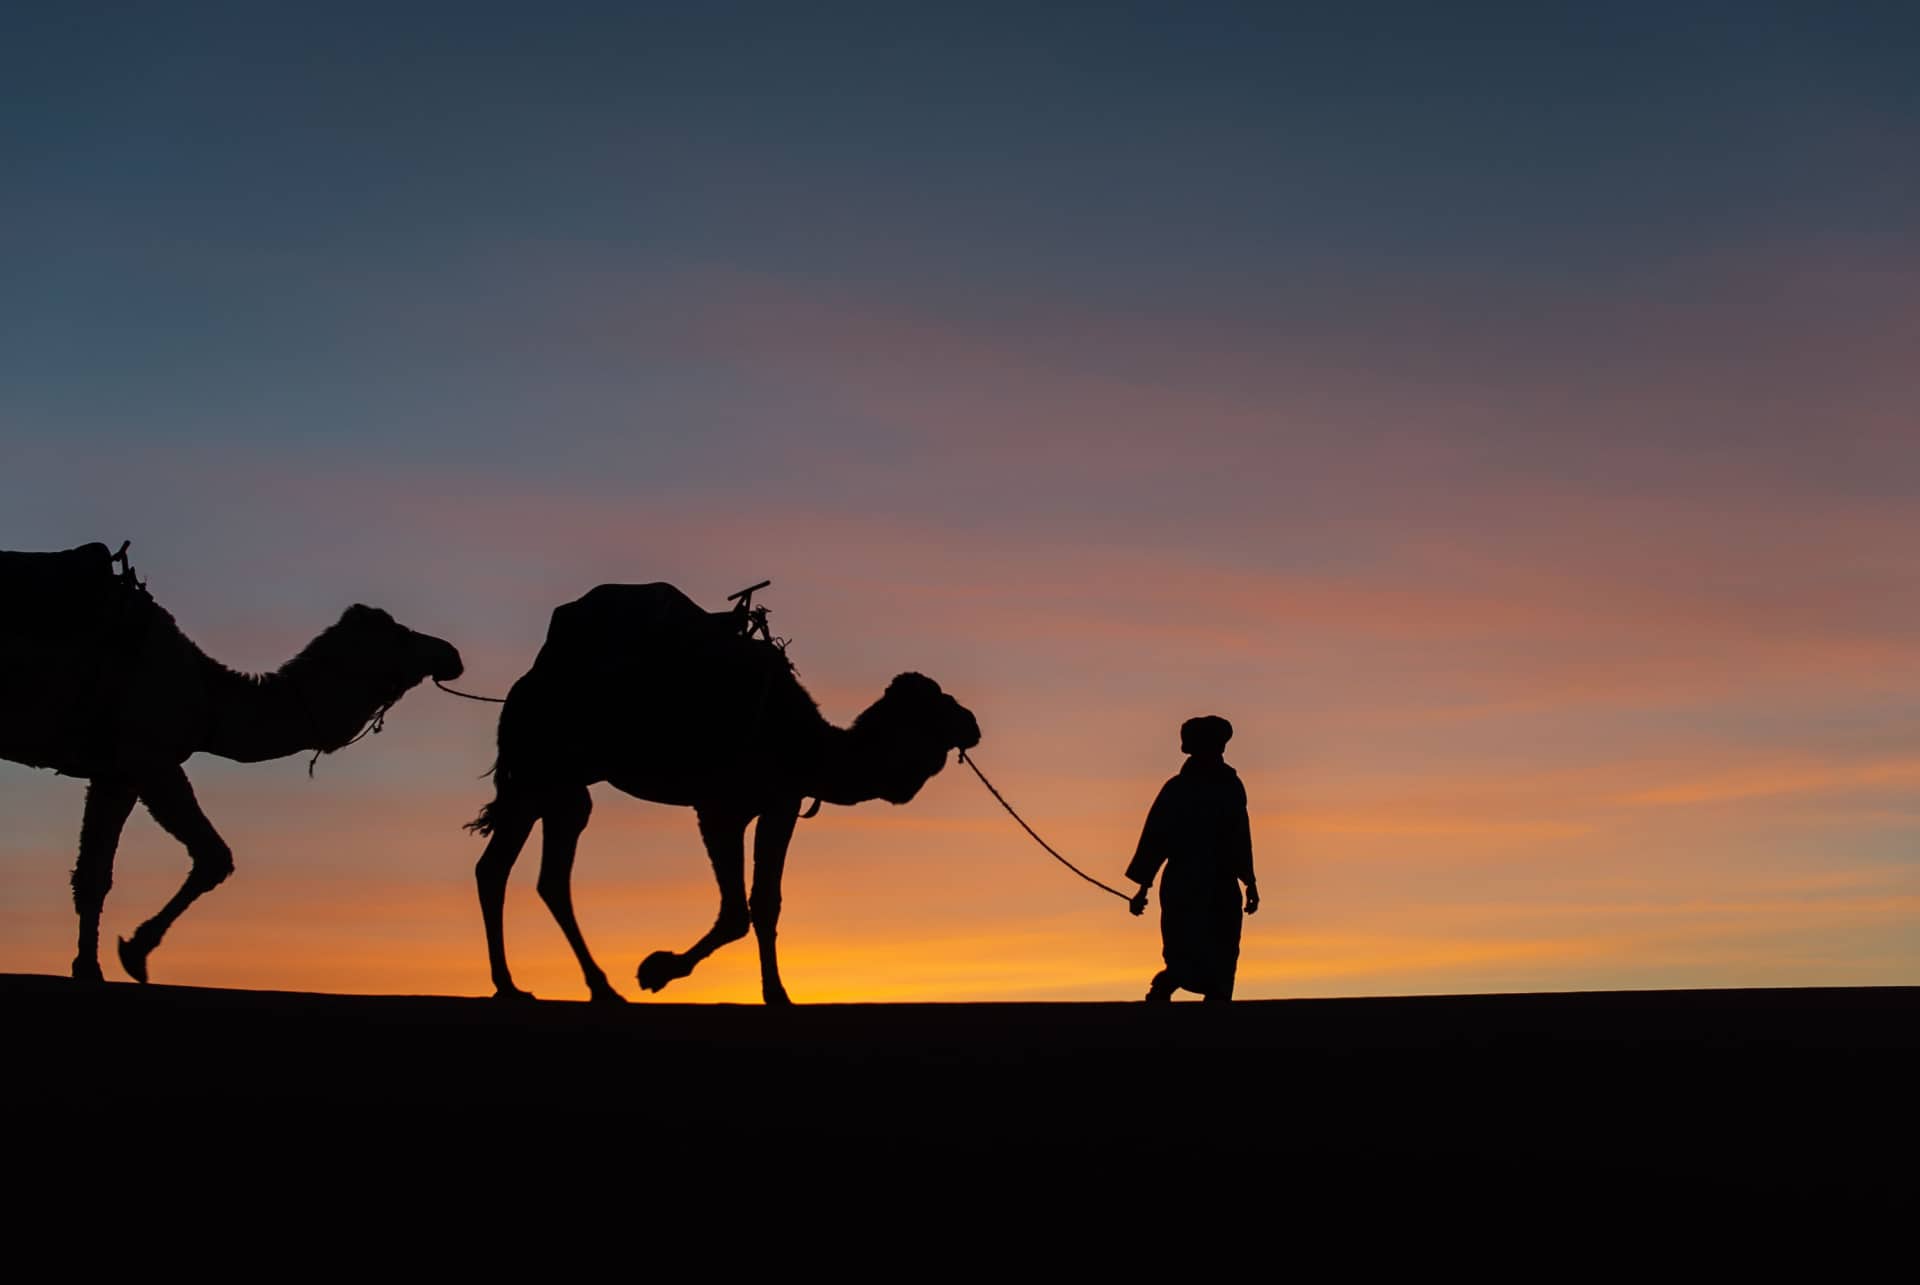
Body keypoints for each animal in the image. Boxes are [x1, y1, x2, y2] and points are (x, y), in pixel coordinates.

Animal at [0, 541, 464, 983]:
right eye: (400, 635)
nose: (450, 654)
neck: (209, 698)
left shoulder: (117, 772)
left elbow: (94, 875)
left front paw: (88, 968)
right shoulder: (151, 758)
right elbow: (213, 857)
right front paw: (135, 952)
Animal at [462, 580, 975, 998]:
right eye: (939, 706)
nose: (972, 724)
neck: (805, 741)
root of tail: (524, 685)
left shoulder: (779, 803)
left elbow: (765, 904)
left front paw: (776, 994)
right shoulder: (719, 808)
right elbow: (736, 912)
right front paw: (657, 970)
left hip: (554, 785)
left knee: (527, 872)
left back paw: (563, 987)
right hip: (540, 767)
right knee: (514, 869)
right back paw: (531, 986)